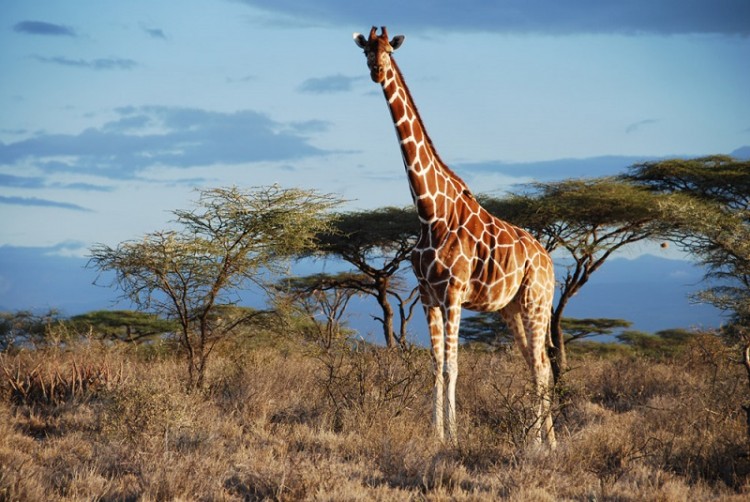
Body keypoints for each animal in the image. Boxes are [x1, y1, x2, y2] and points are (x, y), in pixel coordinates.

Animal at [354, 25, 560, 446]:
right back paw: (548, 443)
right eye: (366, 51)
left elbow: (453, 367)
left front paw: (455, 437)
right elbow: (436, 365)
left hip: (536, 303)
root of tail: (550, 262)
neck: (429, 211)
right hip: (513, 309)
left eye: (389, 52)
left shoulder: (453, 293)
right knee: (538, 366)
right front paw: (437, 435)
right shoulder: (428, 296)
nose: (376, 72)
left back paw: (537, 442)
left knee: (541, 367)